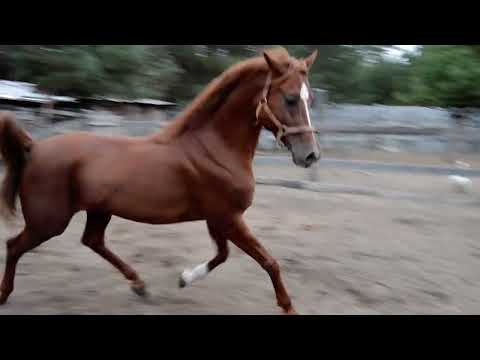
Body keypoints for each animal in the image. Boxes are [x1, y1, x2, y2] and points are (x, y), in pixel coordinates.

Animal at [0, 47, 322, 312]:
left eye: (310, 99)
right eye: (290, 99)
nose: (311, 156)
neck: (214, 148)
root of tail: (33, 148)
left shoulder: (218, 219)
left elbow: (222, 255)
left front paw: (184, 278)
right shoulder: (228, 217)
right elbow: (268, 261)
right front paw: (288, 307)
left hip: (98, 211)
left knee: (92, 241)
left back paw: (140, 286)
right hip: (49, 222)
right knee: (14, 246)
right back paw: (5, 295)